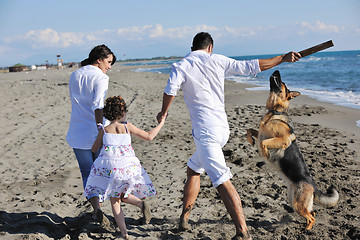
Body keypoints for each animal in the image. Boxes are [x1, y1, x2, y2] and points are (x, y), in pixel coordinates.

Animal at [246, 70, 338, 230]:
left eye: (283, 83)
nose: (276, 71)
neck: (275, 111)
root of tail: (313, 185)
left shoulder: (283, 140)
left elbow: (263, 143)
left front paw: (265, 153)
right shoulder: (261, 132)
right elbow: (250, 131)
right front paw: (250, 140)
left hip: (297, 203)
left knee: (312, 217)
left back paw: (307, 230)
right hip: (293, 201)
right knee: (312, 213)